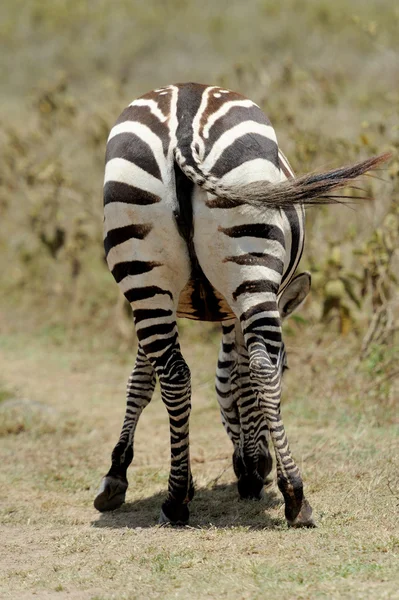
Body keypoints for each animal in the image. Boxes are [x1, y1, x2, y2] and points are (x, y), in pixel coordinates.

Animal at [94, 83, 388, 524]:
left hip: (145, 270)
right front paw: (250, 468)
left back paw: (177, 498)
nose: (258, 467)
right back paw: (294, 494)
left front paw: (120, 476)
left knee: (175, 374)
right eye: (291, 367)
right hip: (249, 262)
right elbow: (238, 376)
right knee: (260, 366)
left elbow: (146, 380)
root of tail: (185, 112)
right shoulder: (233, 313)